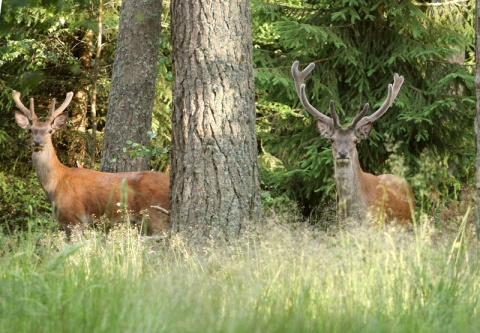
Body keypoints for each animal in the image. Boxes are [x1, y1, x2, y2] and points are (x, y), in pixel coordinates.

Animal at [13, 90, 170, 236]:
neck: (55, 183)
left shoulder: (74, 218)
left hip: (155, 216)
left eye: (50, 131)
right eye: (30, 130)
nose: (37, 142)